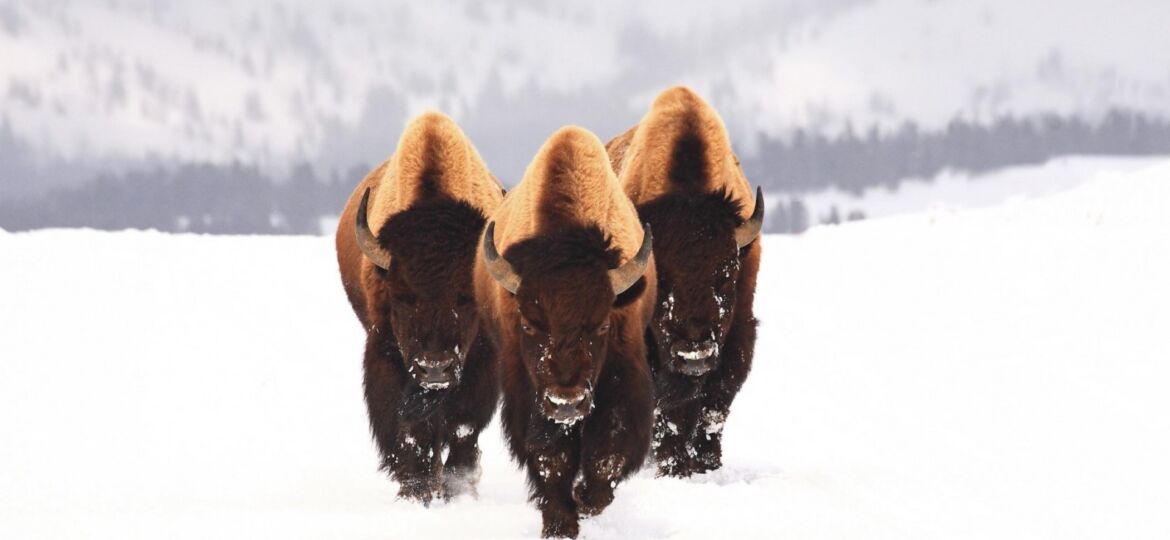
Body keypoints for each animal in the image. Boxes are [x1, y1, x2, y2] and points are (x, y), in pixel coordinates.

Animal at [336, 111, 505, 504]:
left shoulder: (481, 366)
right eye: (402, 295)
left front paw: (458, 491)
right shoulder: (386, 358)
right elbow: (412, 433)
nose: (435, 369)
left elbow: (461, 429)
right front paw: (416, 492)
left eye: (466, 297)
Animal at [475, 125, 659, 535]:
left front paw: (585, 500)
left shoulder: (623, 375)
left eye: (602, 323)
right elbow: (550, 457)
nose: (566, 403)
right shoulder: (527, 390)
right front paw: (560, 523)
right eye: (529, 323)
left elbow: (608, 453)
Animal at [603, 87, 767, 476]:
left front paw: (707, 463)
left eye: (727, 276)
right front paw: (673, 466)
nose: (694, 354)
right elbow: (670, 413)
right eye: (662, 281)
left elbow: (714, 405)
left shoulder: (738, 334)